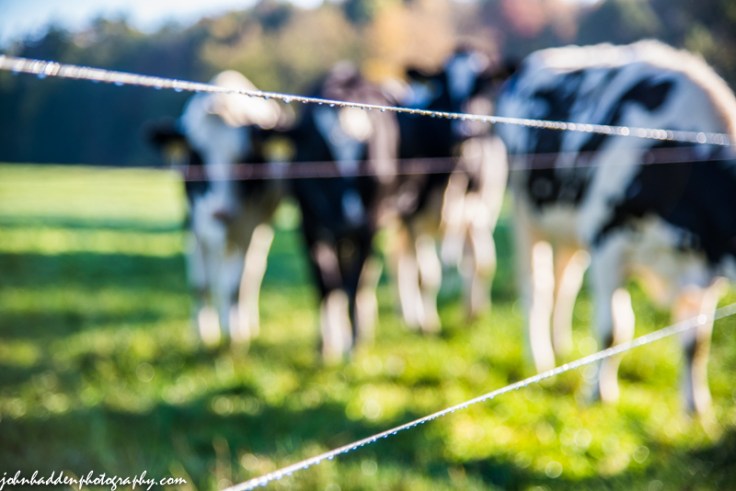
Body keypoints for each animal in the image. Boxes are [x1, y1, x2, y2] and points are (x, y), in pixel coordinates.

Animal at [148, 70, 284, 346]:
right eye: (196, 157)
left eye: (245, 161)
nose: (220, 212)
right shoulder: (193, 224)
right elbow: (201, 284)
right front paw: (203, 335)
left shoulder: (247, 227)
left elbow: (236, 286)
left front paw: (235, 336)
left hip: (262, 227)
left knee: (250, 274)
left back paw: (244, 323)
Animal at [288, 62, 399, 363]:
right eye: (319, 152)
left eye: (368, 152)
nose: (351, 219)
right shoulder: (309, 225)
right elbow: (326, 284)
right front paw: (328, 345)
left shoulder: (370, 225)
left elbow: (354, 282)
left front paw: (354, 343)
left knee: (364, 277)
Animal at [390, 46, 509, 333]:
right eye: (443, 86)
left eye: (482, 86)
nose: (465, 130)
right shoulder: (413, 216)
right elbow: (426, 275)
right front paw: (428, 324)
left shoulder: (479, 211)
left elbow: (483, 263)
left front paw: (473, 314)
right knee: (401, 261)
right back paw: (410, 316)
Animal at [494, 40, 736, 415]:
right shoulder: (608, 243)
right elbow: (614, 330)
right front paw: (598, 395)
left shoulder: (704, 270)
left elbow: (695, 342)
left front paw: (696, 409)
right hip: (525, 215)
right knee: (537, 287)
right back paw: (540, 359)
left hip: (569, 228)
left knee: (564, 283)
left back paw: (561, 349)